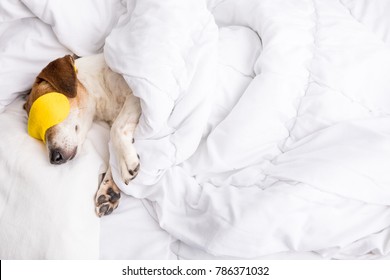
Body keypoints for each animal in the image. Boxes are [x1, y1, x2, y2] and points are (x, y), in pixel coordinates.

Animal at [23, 54, 142, 217]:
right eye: (39, 136)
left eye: (47, 114)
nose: (54, 158)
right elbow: (113, 150)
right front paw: (109, 188)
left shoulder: (135, 96)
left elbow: (116, 129)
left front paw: (125, 161)